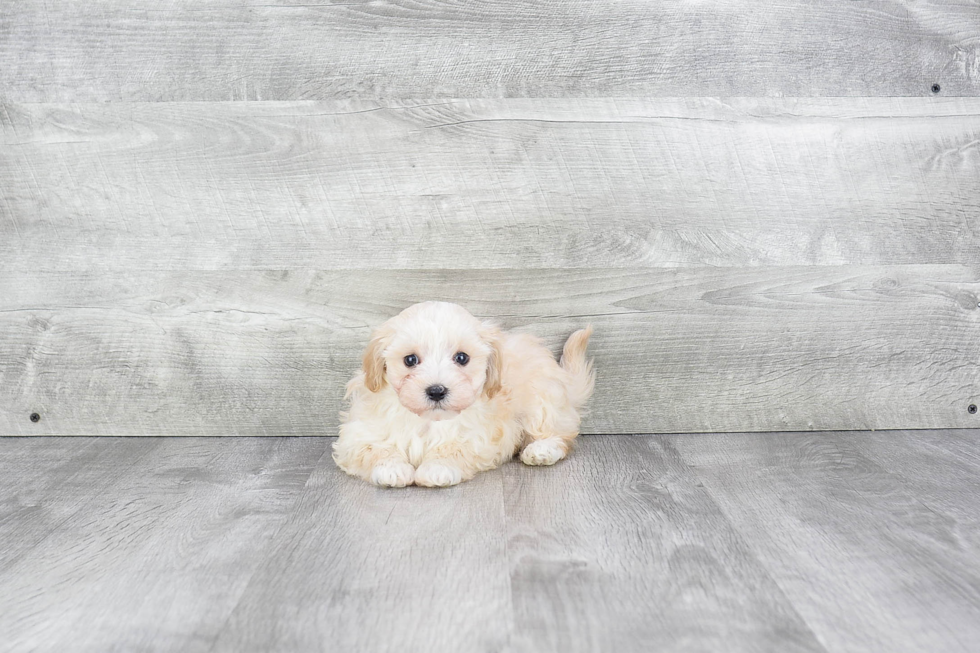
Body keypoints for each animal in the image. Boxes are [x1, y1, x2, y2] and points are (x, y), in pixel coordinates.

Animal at [334, 300, 596, 484]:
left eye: (462, 358)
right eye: (410, 360)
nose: (437, 391)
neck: (428, 421)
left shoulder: (479, 435)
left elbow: (453, 446)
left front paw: (437, 468)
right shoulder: (359, 432)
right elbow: (373, 448)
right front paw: (392, 469)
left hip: (542, 399)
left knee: (560, 434)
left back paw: (542, 450)